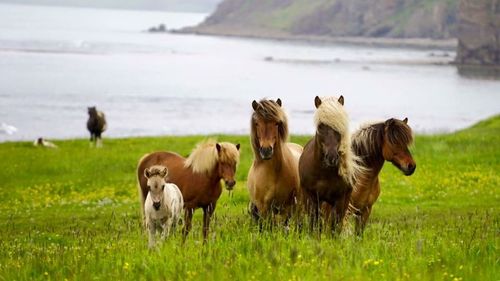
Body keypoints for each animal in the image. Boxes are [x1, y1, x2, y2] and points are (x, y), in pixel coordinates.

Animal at [247, 97, 302, 226]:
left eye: (277, 123)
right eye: (257, 123)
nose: (266, 150)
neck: (274, 172)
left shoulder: (286, 207)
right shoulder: (263, 207)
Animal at [298, 96, 362, 234]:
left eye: (340, 126)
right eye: (321, 126)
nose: (332, 157)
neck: (324, 173)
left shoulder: (339, 200)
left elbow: (334, 225)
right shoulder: (311, 197)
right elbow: (315, 223)